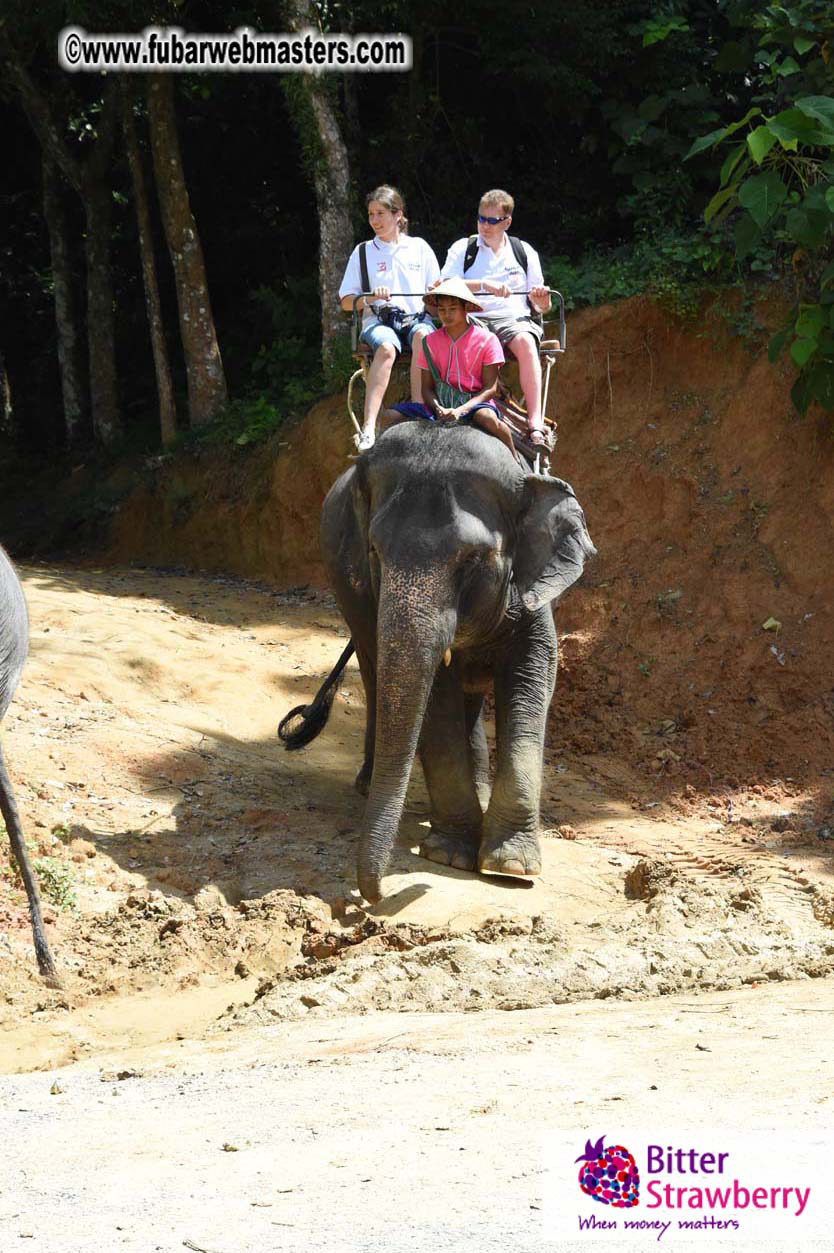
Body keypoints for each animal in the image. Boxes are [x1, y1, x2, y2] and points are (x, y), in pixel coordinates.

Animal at [279, 421, 595, 905]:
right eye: (374, 551)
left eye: (473, 558)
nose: (376, 895)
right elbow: (436, 696)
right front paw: (450, 855)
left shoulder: (535, 588)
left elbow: (533, 676)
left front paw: (510, 867)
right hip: (349, 599)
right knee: (375, 673)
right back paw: (368, 784)